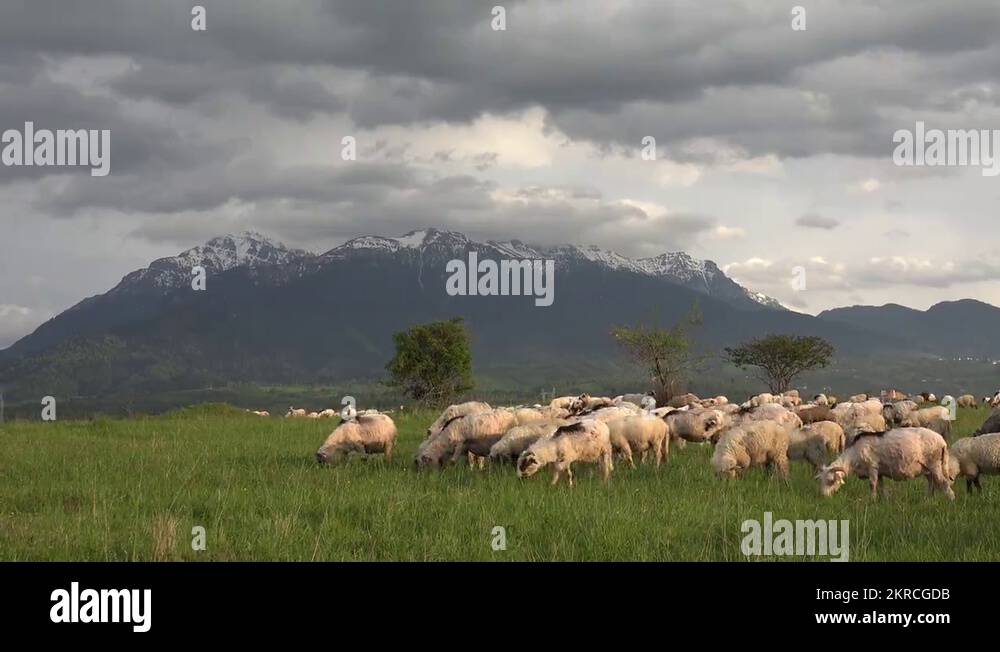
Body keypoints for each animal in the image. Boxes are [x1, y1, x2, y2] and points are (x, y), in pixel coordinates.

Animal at [816, 427, 954, 500]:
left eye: (831, 481)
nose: (824, 497)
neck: (853, 456)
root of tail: (942, 441)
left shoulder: (872, 467)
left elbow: (872, 484)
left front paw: (872, 500)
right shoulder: (880, 471)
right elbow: (881, 486)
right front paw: (884, 500)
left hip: (934, 464)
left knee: (943, 482)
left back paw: (951, 499)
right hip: (926, 468)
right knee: (932, 482)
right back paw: (928, 499)